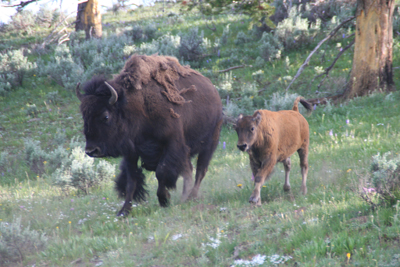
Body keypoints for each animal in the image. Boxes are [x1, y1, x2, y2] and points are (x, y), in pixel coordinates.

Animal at [76, 54, 223, 216]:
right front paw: (124, 211)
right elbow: (131, 181)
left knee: (200, 170)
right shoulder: (131, 152)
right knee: (189, 170)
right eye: (84, 116)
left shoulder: (172, 144)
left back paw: (190, 197)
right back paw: (185, 197)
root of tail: (215, 93)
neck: (137, 106)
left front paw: (164, 200)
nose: (91, 150)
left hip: (209, 144)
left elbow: (161, 172)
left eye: (106, 116)